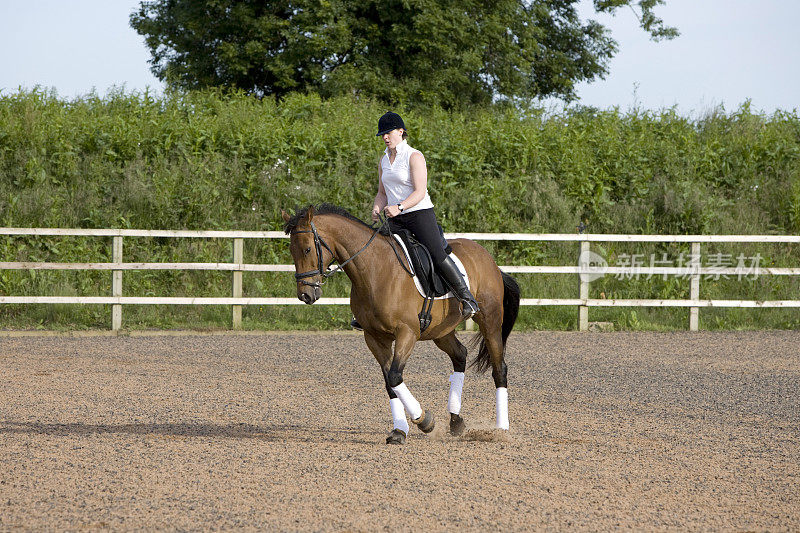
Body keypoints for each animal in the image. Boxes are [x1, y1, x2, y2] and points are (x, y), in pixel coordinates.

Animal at [280, 204, 520, 444]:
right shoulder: (374, 337)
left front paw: (425, 421)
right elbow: (390, 382)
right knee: (460, 355)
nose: (305, 295)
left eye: (307, 250)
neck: (374, 270)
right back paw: (456, 421)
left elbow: (395, 376)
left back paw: (501, 428)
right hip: (441, 330)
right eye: (291, 250)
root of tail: (488, 258)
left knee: (499, 368)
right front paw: (399, 430)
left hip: (489, 320)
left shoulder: (407, 333)